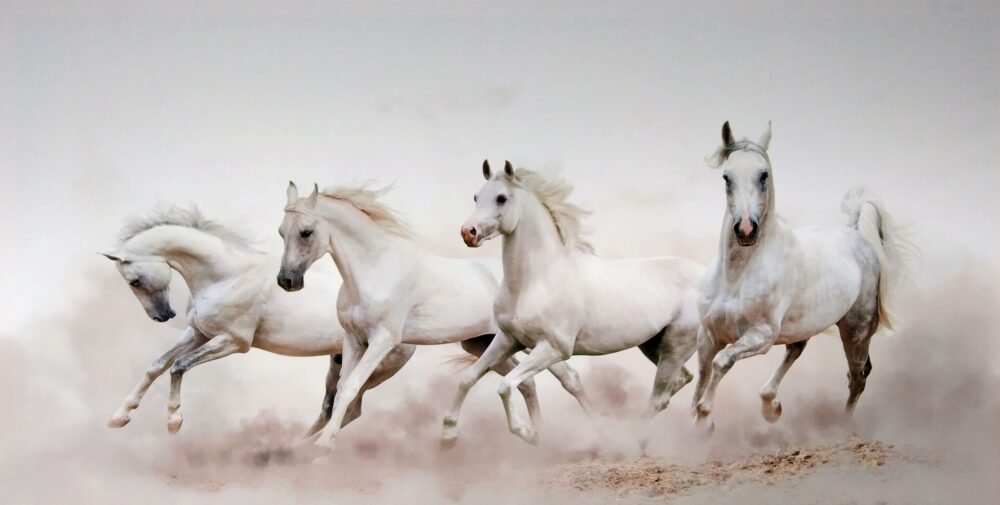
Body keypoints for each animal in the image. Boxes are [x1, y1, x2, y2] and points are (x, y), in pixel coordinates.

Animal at [101, 207, 416, 435]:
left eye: (134, 281)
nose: (163, 315)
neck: (225, 275)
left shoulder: (233, 341)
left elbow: (178, 366)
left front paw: (174, 422)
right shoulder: (199, 334)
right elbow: (156, 366)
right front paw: (119, 417)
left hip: (371, 370)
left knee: (349, 409)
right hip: (339, 362)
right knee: (332, 407)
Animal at [275, 182, 593, 448]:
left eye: (306, 232)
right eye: (281, 232)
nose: (287, 281)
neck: (375, 271)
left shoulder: (382, 341)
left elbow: (350, 388)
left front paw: (322, 448)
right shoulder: (353, 340)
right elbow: (342, 388)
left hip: (530, 342)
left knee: (570, 377)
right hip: (484, 344)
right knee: (527, 382)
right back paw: (536, 436)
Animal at [449, 160, 705, 446]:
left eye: (501, 198)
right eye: (476, 196)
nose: (468, 233)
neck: (536, 281)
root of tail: (706, 275)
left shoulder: (553, 348)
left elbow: (505, 386)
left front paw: (529, 433)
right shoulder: (508, 339)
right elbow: (467, 378)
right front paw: (447, 434)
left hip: (675, 346)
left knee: (659, 397)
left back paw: (631, 442)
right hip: (651, 344)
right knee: (681, 380)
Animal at [692, 121, 908, 426]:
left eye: (763, 175)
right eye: (727, 177)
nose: (746, 229)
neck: (735, 278)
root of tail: (855, 233)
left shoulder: (761, 336)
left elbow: (721, 362)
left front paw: (705, 418)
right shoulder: (708, 334)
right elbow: (701, 376)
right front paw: (695, 420)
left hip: (856, 329)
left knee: (858, 376)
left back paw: (839, 425)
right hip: (807, 323)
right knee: (798, 349)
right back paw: (771, 405)